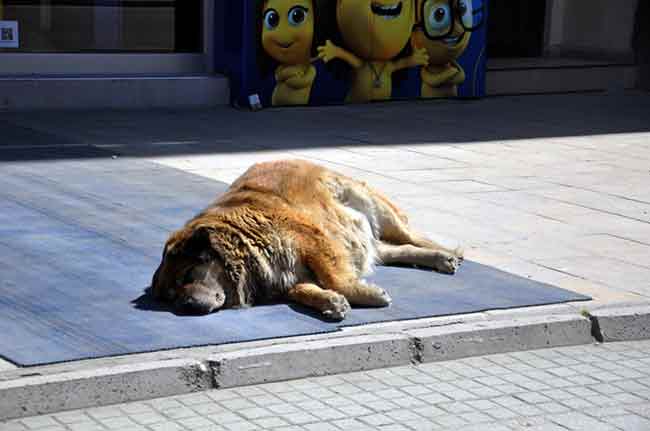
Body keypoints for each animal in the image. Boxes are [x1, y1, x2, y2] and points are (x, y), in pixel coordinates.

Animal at [151, 159, 460, 320]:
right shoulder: (284, 275)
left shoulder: (313, 240)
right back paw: (438, 259)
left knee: (411, 235)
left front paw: (365, 294)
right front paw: (329, 301)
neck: (244, 241)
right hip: (362, 236)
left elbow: (336, 277)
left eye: (187, 275)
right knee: (398, 248)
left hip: (373, 206)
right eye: (171, 296)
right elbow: (302, 289)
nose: (186, 306)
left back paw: (448, 253)